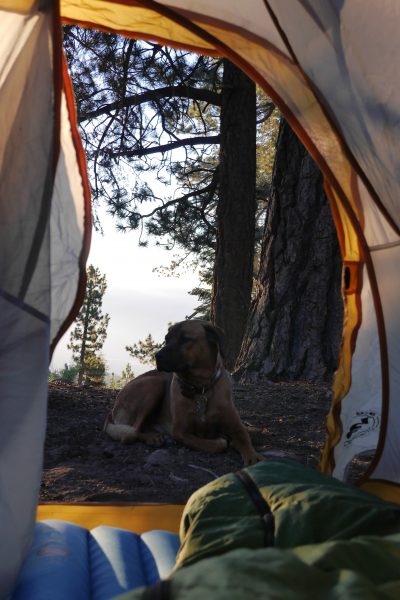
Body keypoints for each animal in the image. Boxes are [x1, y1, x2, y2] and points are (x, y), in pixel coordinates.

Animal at [104, 322, 264, 466]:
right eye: (167, 339)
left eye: (185, 339)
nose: (157, 356)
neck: (200, 388)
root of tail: (113, 409)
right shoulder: (181, 432)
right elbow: (215, 445)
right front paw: (221, 441)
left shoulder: (236, 425)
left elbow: (244, 436)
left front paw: (253, 457)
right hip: (153, 384)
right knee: (131, 433)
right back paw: (152, 437)